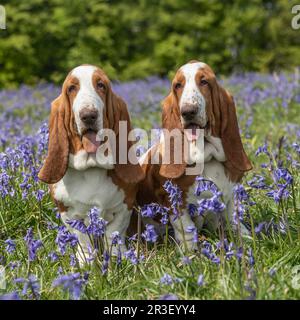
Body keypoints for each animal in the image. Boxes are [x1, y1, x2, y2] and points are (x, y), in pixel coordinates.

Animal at [38, 64, 144, 262]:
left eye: (101, 85)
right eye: (71, 88)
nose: (88, 115)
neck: (91, 166)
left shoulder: (124, 206)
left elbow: (114, 235)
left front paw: (117, 260)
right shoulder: (69, 213)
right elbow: (83, 240)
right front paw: (86, 262)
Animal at [137, 60, 252, 250]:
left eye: (204, 82)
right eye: (178, 85)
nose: (188, 111)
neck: (207, 156)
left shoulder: (230, 194)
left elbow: (234, 219)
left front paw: (248, 239)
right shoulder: (173, 200)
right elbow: (186, 228)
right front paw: (190, 252)